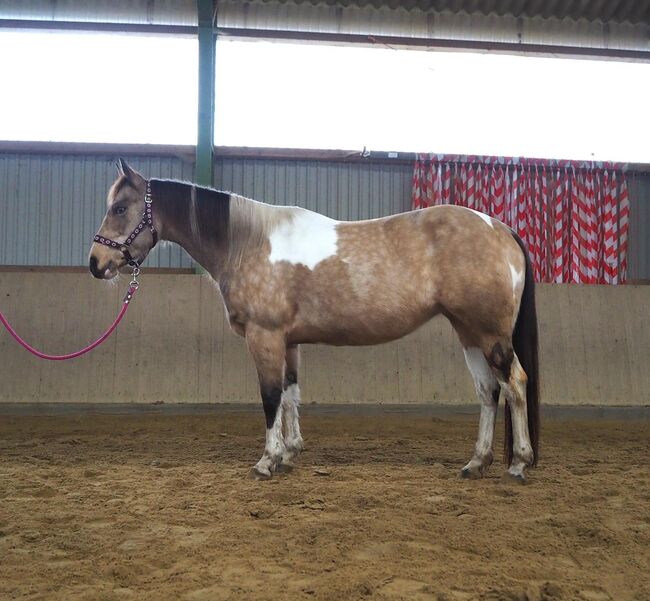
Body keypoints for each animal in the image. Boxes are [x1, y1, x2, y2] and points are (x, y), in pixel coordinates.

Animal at [88, 159, 540, 482]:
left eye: (120, 207)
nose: (96, 263)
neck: (248, 243)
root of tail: (500, 228)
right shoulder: (288, 341)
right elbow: (291, 394)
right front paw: (289, 454)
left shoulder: (265, 336)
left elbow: (270, 396)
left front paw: (267, 461)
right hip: (469, 332)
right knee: (488, 391)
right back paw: (476, 463)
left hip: (490, 333)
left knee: (514, 383)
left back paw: (519, 463)